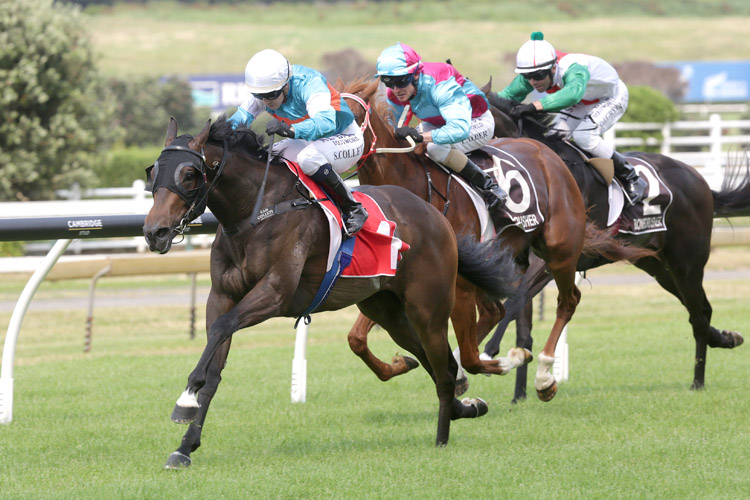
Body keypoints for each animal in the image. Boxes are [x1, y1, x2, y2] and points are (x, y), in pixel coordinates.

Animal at [144, 115, 524, 466]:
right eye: (153, 172)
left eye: (188, 175)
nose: (154, 232)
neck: (255, 212)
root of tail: (437, 216)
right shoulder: (222, 297)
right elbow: (215, 363)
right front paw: (185, 446)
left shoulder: (274, 293)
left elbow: (220, 333)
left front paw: (185, 400)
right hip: (387, 310)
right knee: (436, 362)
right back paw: (464, 406)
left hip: (427, 308)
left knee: (443, 367)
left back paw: (442, 437)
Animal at [340, 80, 652, 404]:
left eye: (350, 117)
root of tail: (544, 152)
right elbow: (356, 338)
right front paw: (403, 363)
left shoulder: (456, 281)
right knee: (496, 313)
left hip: (559, 250)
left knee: (566, 302)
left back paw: (544, 377)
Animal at [484, 93, 748, 398]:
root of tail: (700, 181)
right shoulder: (523, 261)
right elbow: (519, 316)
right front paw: (517, 389)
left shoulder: (552, 260)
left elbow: (515, 301)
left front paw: (491, 354)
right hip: (658, 267)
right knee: (702, 310)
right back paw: (726, 339)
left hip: (687, 264)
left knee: (698, 316)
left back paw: (698, 381)